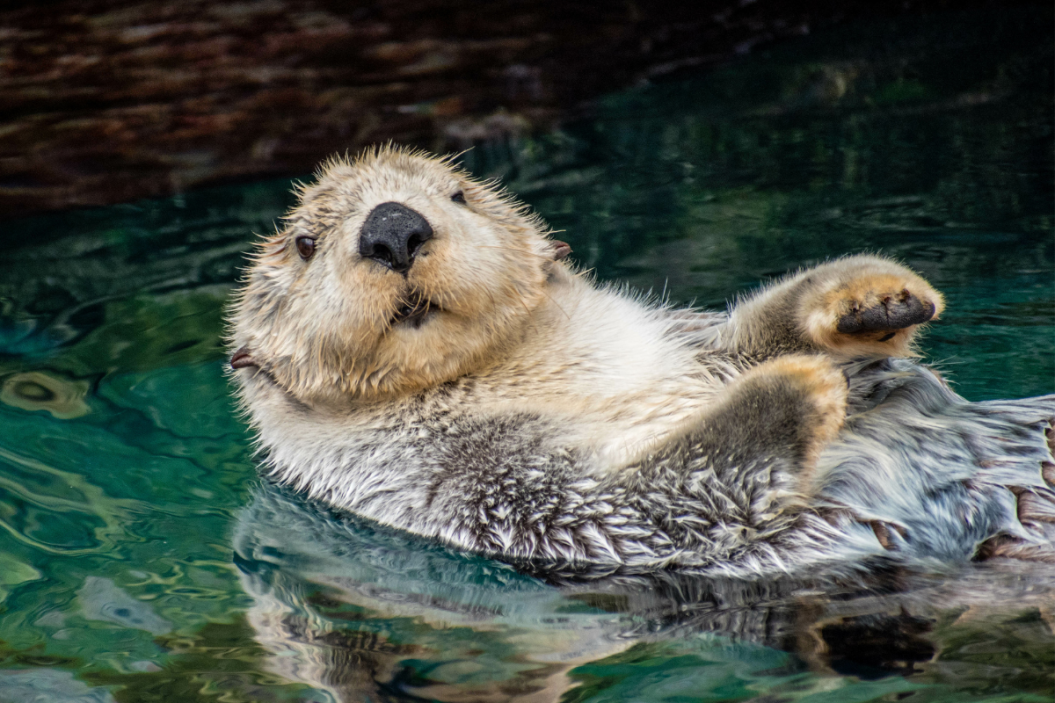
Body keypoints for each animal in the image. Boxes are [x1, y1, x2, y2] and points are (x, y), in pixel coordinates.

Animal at [228, 145, 1055, 577]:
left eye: (457, 194)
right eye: (305, 242)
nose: (393, 226)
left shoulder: (689, 346)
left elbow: (752, 331)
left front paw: (871, 296)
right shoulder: (477, 486)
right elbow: (649, 501)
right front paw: (796, 384)